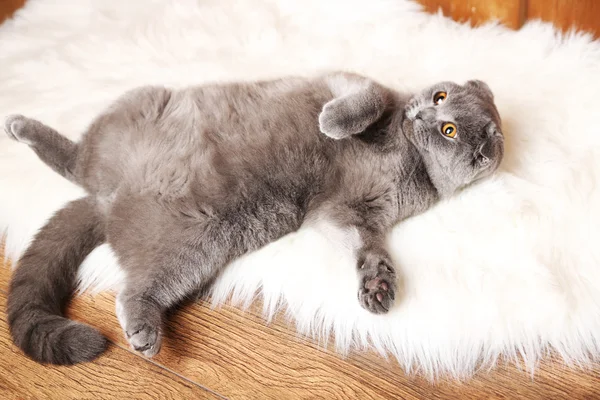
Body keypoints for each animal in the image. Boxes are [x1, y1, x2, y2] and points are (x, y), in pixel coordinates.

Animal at [4, 72, 504, 366]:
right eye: (439, 95)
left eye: (450, 129)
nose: (423, 113)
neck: (409, 156)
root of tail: (108, 198)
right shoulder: (349, 80)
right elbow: (370, 97)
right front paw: (333, 122)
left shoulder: (353, 213)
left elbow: (368, 248)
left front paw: (378, 285)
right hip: (140, 104)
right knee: (78, 159)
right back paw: (20, 126)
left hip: (193, 245)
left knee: (133, 284)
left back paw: (145, 330)